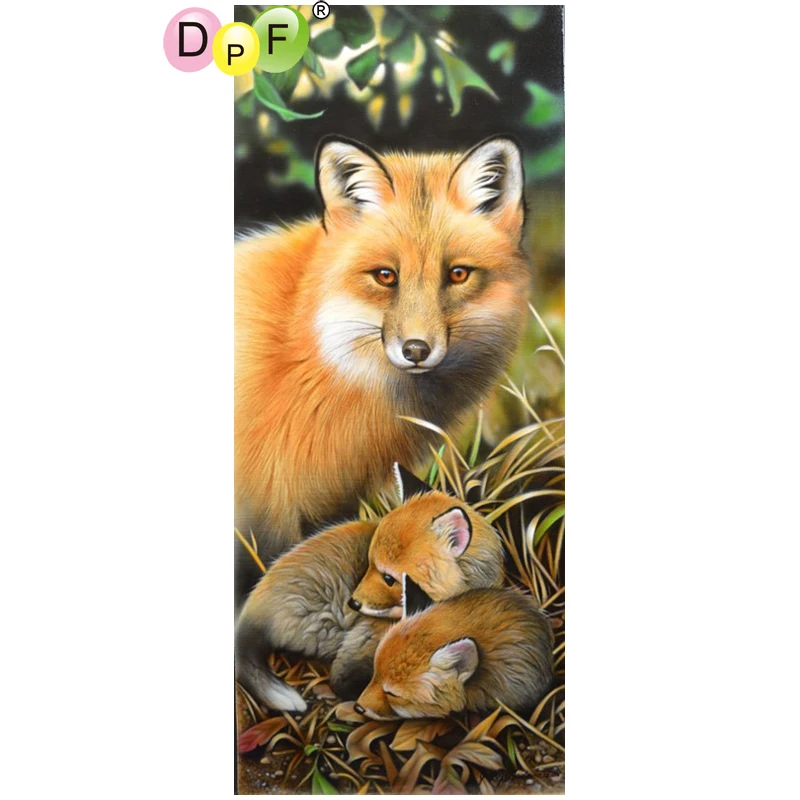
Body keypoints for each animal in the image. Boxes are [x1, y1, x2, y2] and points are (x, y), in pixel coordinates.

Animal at [235, 486, 505, 712]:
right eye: (368, 564)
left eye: (388, 578)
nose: (353, 603)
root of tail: (253, 604)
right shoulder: (365, 639)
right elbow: (343, 679)